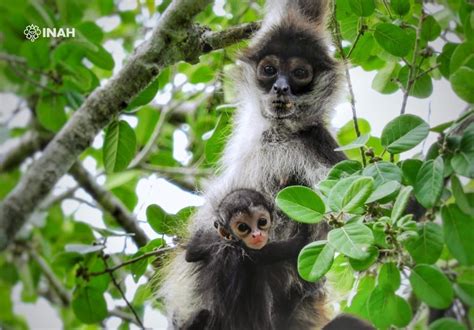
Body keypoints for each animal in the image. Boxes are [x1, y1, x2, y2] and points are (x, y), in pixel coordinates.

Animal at [183, 188, 310, 330]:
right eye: (242, 227)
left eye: (262, 222)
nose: (257, 235)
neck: (232, 244)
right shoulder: (253, 254)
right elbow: (297, 244)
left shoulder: (212, 244)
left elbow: (191, 253)